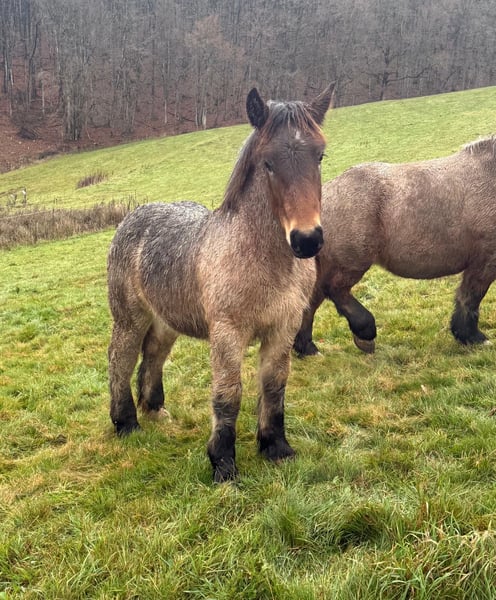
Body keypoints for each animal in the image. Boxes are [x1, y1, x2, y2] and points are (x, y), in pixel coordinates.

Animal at [107, 83, 334, 482]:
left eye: (319, 156)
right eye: (268, 162)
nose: (307, 240)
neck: (260, 260)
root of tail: (131, 218)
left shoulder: (283, 328)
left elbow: (274, 386)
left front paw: (276, 447)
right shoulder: (228, 333)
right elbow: (228, 394)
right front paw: (223, 464)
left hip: (166, 321)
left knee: (153, 356)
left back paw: (155, 410)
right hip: (130, 319)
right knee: (120, 359)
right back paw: (126, 424)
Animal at [293, 135, 496, 356]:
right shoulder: (485, 260)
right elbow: (471, 297)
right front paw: (472, 336)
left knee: (312, 300)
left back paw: (307, 348)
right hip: (350, 263)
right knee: (334, 290)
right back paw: (365, 333)